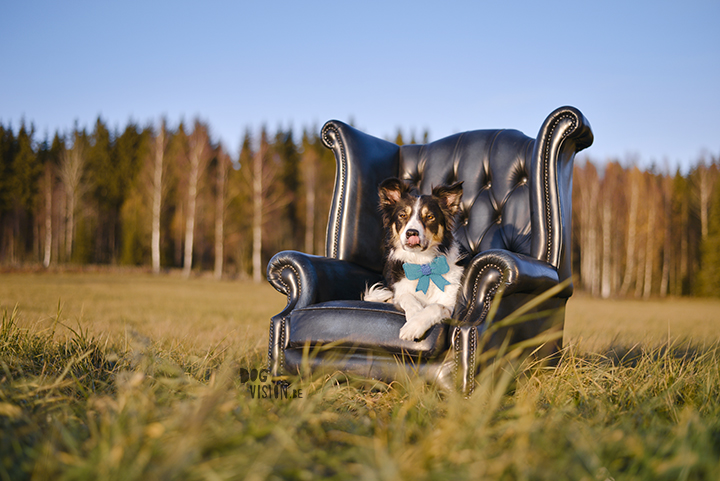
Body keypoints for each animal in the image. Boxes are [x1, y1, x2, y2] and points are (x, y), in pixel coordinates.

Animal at [362, 177, 464, 342]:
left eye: (430, 217)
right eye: (403, 215)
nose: (411, 233)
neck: (422, 264)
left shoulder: (449, 304)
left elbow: (435, 306)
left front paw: (413, 327)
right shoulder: (401, 290)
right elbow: (407, 296)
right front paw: (415, 314)